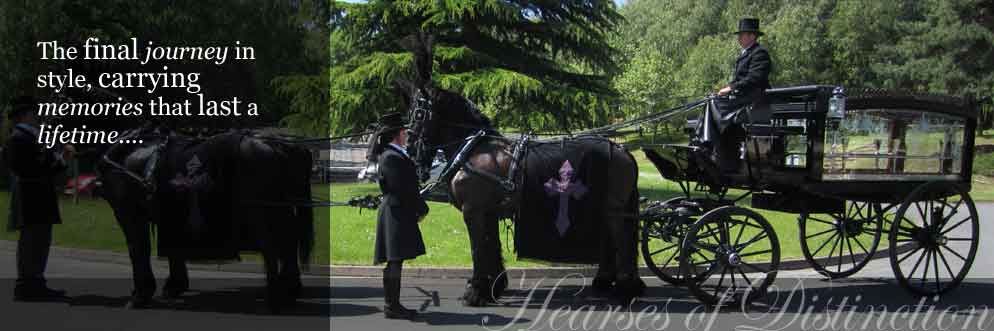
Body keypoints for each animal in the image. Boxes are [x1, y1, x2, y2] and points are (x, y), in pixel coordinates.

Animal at [97, 127, 314, 314]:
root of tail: (278, 145)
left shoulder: (129, 213)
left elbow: (137, 249)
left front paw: (141, 294)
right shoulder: (171, 213)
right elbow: (173, 248)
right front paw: (174, 285)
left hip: (261, 211)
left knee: (272, 245)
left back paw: (275, 299)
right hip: (279, 208)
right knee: (288, 241)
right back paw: (289, 291)